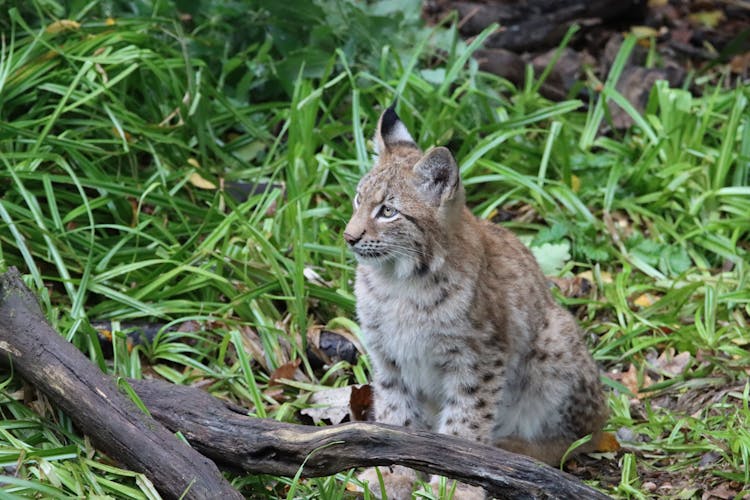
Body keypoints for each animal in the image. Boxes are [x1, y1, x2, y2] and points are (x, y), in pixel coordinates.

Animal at [346, 107, 612, 498]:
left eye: (388, 211)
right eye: (358, 200)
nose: (349, 237)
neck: (398, 282)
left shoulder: (478, 358)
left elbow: (466, 422)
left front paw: (455, 484)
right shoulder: (388, 355)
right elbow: (396, 413)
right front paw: (392, 472)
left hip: (554, 336)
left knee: (582, 436)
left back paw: (513, 453)